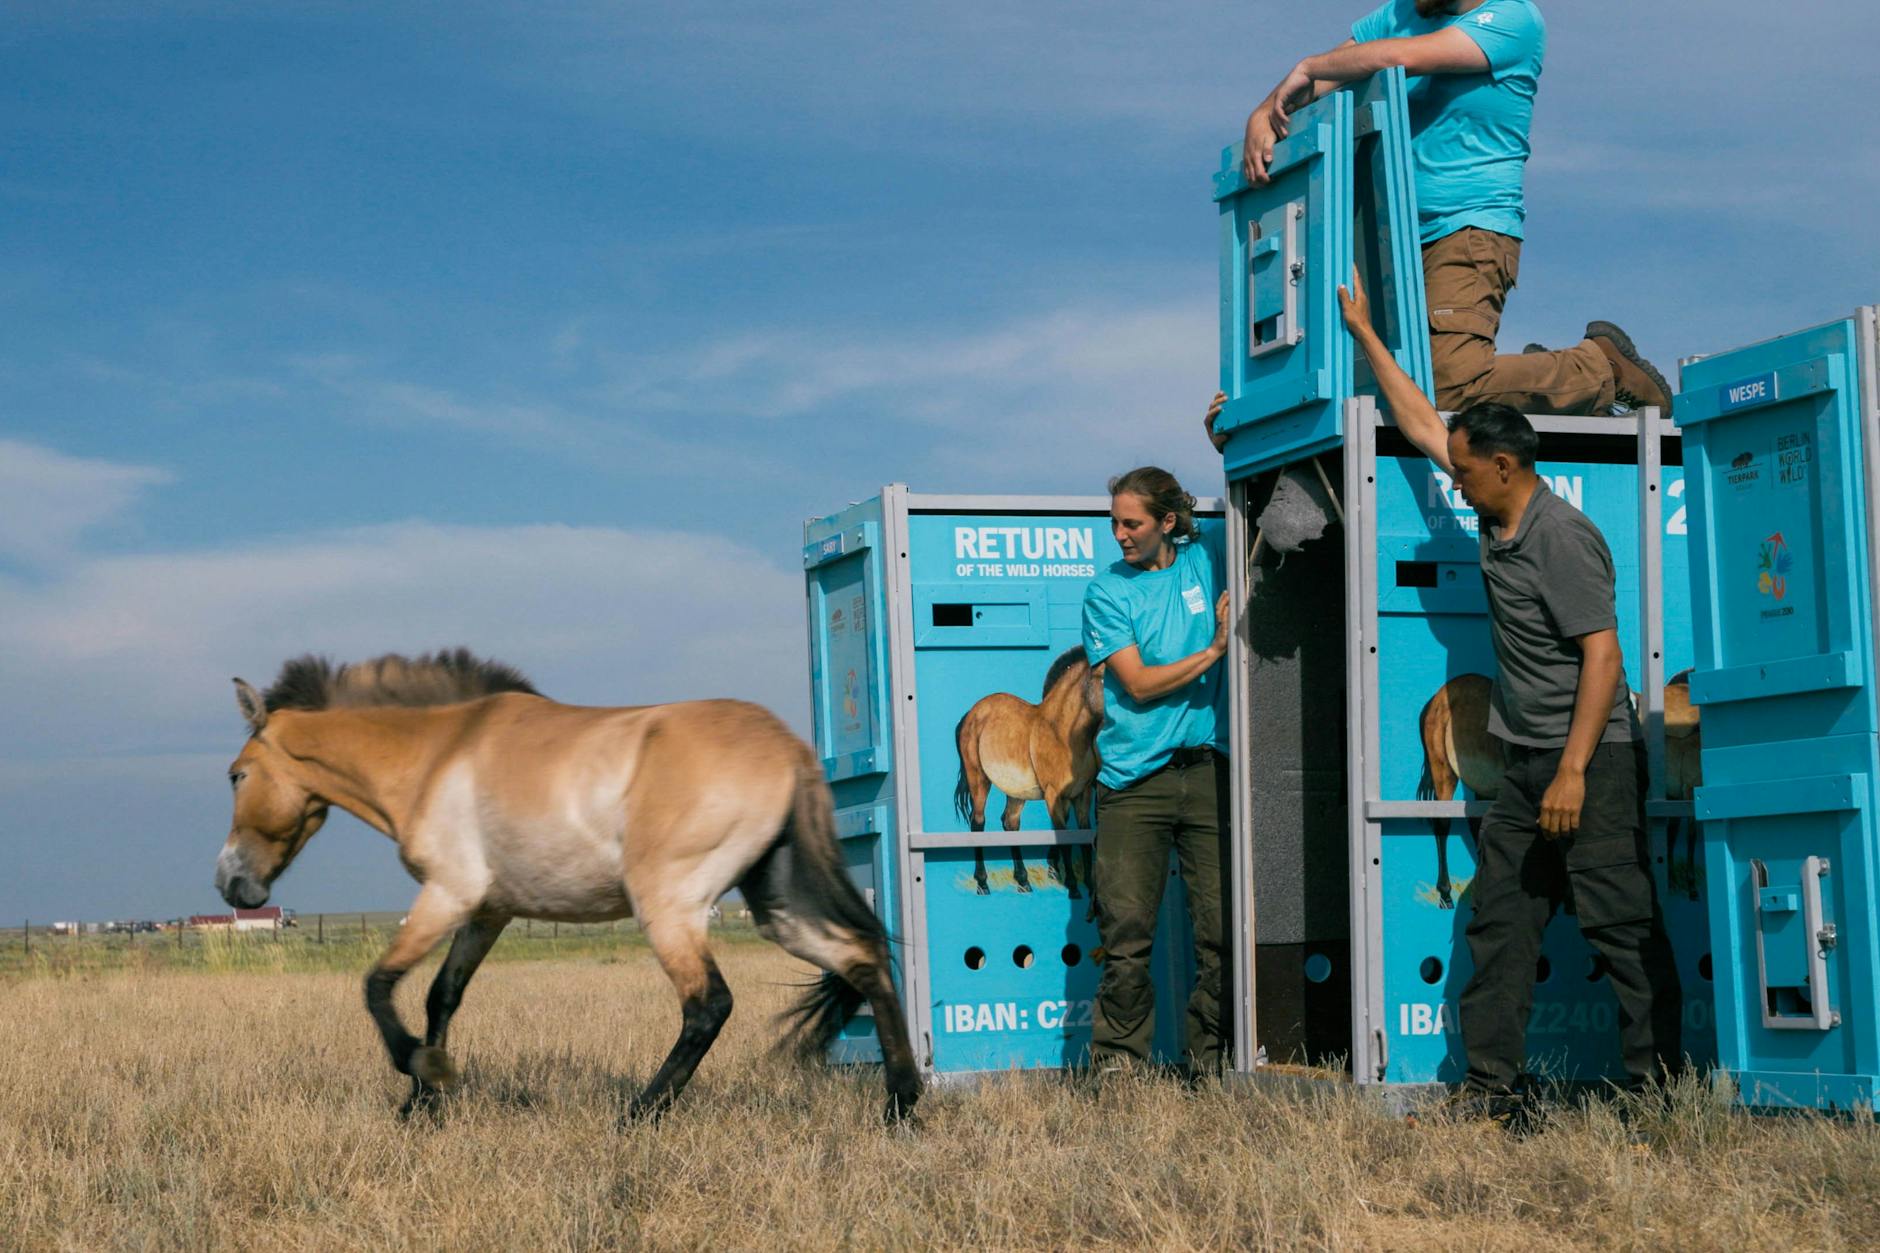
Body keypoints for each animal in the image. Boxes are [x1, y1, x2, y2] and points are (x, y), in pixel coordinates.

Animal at [213, 649, 920, 1124]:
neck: (438, 754)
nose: (231, 883)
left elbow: (379, 986)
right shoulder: (488, 911)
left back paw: (638, 1115)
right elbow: (442, 997)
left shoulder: (447, 893)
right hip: (776, 905)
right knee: (863, 959)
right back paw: (901, 1107)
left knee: (708, 1005)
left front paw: (423, 1073)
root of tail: (789, 749)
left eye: (236, 774)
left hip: (669, 907)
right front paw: (422, 1106)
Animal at [953, 646, 1102, 899]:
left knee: (1010, 823)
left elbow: (1083, 837)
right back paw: (983, 883)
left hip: (1016, 792)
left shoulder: (1082, 795)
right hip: (979, 779)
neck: (1062, 732)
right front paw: (1072, 887)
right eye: (1104, 677)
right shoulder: (1054, 795)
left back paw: (1023, 882)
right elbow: (1064, 838)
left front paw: (1090, 887)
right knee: (978, 822)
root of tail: (972, 713)